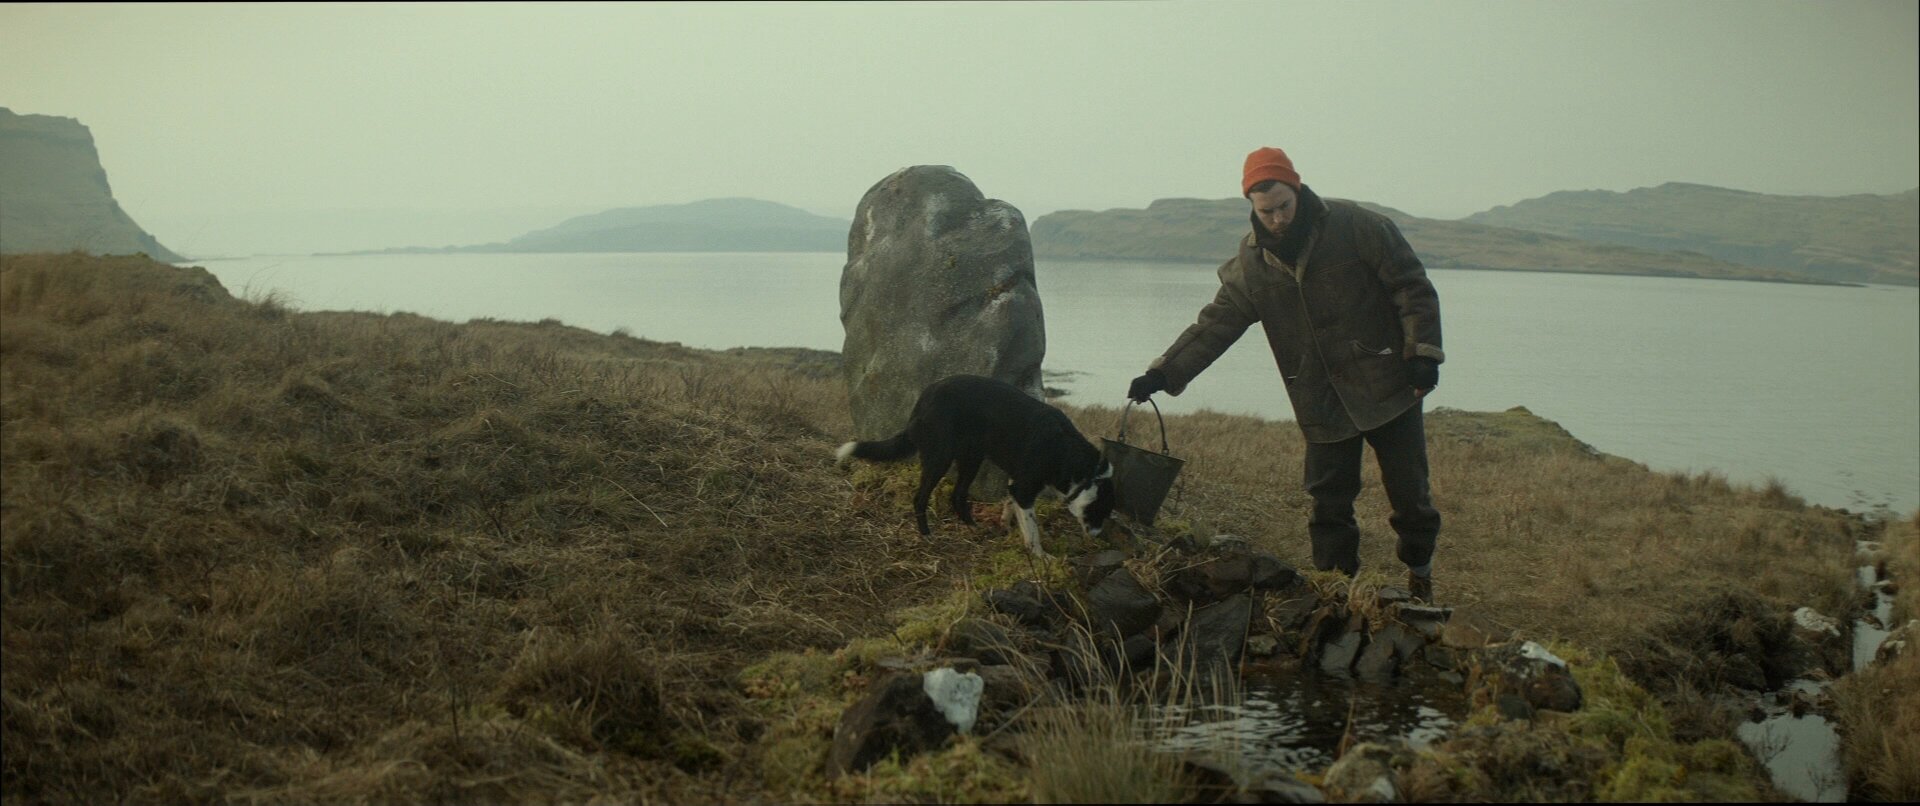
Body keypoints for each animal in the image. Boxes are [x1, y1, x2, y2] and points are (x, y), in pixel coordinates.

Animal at [835, 374, 1115, 558]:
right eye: (1099, 512)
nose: (1097, 537)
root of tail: (924, 398)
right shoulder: (1024, 489)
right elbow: (1033, 531)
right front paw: (1041, 557)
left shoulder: (1016, 483)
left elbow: (1011, 509)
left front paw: (1006, 527)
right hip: (940, 458)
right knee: (920, 498)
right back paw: (927, 535)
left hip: (972, 458)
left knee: (957, 495)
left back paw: (972, 527)